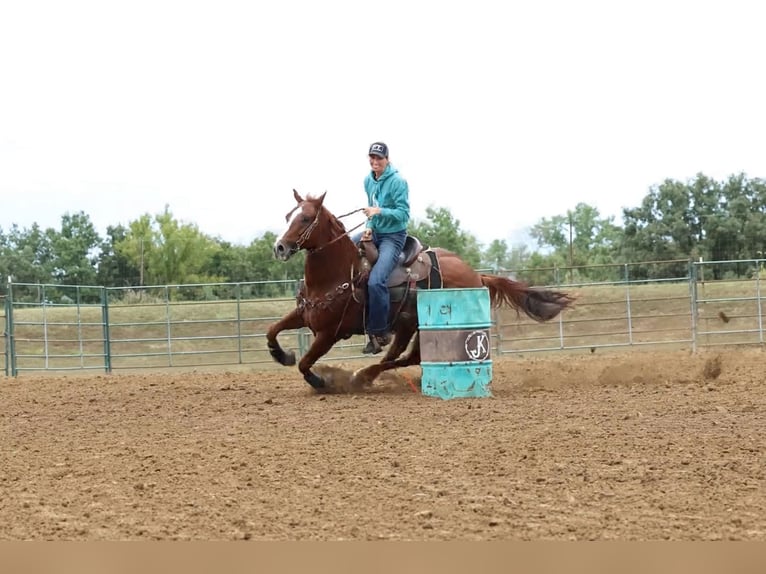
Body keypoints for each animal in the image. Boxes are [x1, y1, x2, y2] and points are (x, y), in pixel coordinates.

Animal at [267, 189, 575, 391]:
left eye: (306, 218)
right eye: (288, 215)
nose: (279, 247)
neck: (338, 274)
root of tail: (476, 275)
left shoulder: (329, 333)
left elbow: (305, 363)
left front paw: (320, 380)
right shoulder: (304, 315)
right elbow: (273, 330)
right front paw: (282, 355)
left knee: (407, 358)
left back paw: (361, 377)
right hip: (407, 326)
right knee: (399, 356)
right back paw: (366, 376)